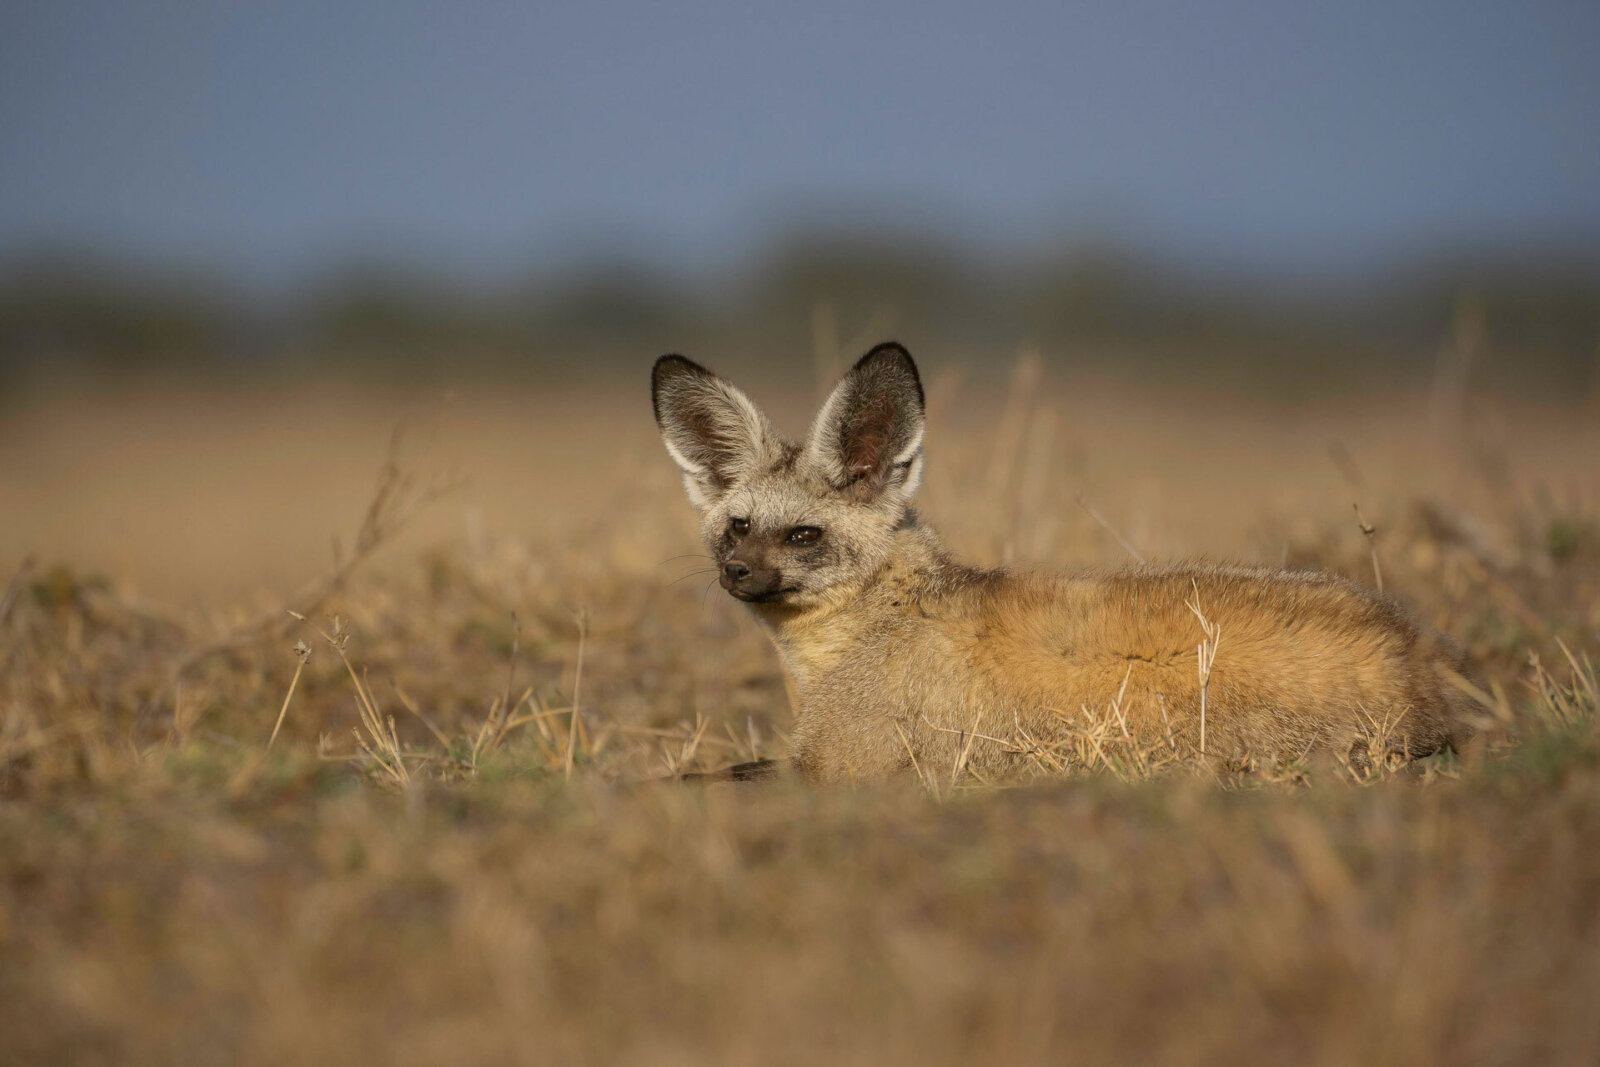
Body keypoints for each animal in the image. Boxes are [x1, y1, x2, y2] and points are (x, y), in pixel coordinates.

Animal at [651, 342, 1471, 783]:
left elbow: (690, 779)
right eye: (738, 528)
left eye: (802, 536)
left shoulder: (842, 769)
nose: (736, 575)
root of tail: (1415, 653)